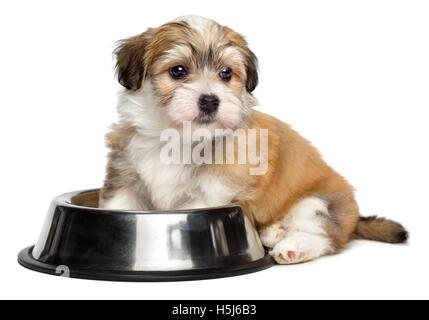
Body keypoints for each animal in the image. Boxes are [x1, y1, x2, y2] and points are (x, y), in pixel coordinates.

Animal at [98, 15, 406, 264]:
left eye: (226, 73)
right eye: (178, 71)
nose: (210, 100)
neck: (177, 137)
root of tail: (354, 216)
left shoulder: (210, 193)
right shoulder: (126, 180)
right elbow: (117, 207)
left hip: (318, 202)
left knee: (322, 234)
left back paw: (293, 247)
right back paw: (272, 231)